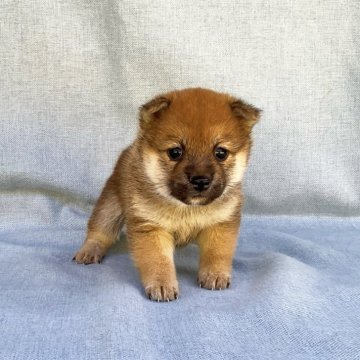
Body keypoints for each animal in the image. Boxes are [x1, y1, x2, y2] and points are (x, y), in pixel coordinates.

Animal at [73, 87, 260, 300]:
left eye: (220, 153)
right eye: (175, 152)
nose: (200, 180)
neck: (187, 208)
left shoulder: (220, 224)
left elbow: (217, 254)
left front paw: (215, 274)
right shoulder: (150, 227)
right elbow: (158, 261)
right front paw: (162, 285)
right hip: (110, 206)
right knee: (99, 230)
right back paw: (89, 250)